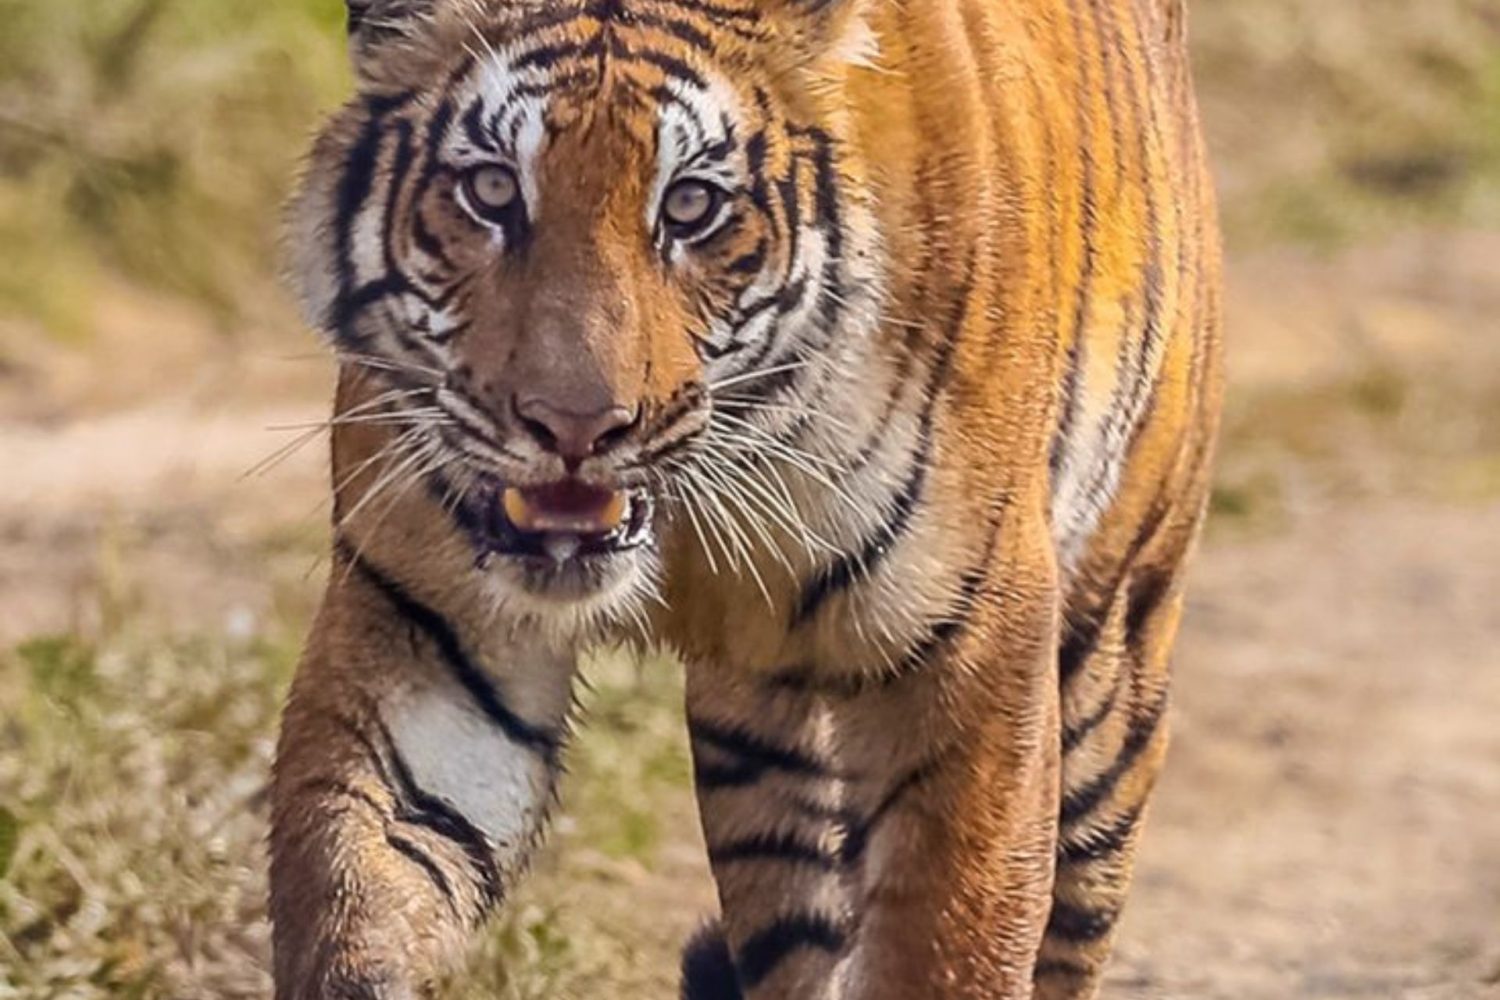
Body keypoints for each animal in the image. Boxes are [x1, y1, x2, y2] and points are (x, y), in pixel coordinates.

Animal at [268, 0, 1223, 997]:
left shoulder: (974, 646)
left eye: (691, 206)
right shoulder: (427, 622)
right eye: (493, 191)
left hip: (1113, 663)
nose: (576, 427)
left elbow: (952, 938)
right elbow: (359, 883)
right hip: (762, 749)